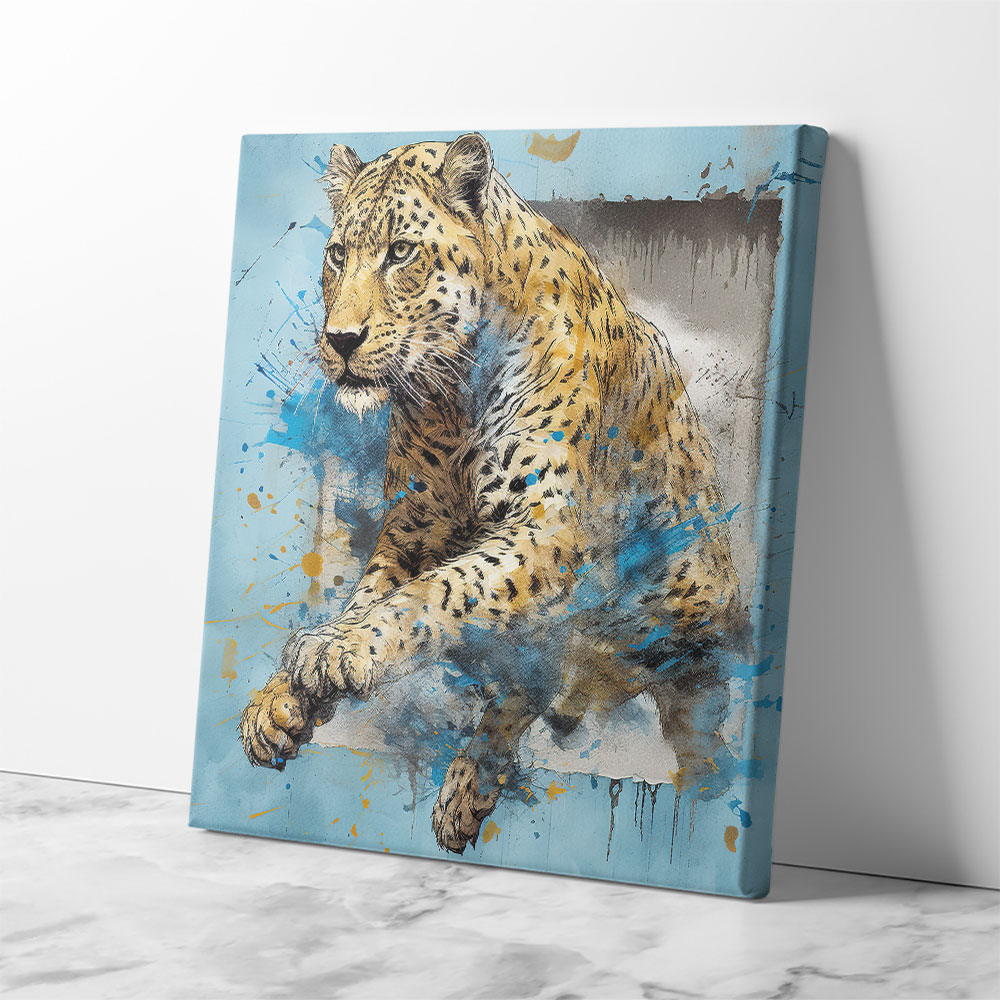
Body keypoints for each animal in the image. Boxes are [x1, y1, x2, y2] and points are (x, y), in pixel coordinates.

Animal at [240, 133, 750, 853]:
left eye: (401, 252)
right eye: (338, 255)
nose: (340, 341)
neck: (454, 394)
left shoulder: (547, 528)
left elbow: (439, 592)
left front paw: (339, 649)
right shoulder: (413, 526)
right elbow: (377, 594)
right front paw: (280, 700)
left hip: (683, 646)